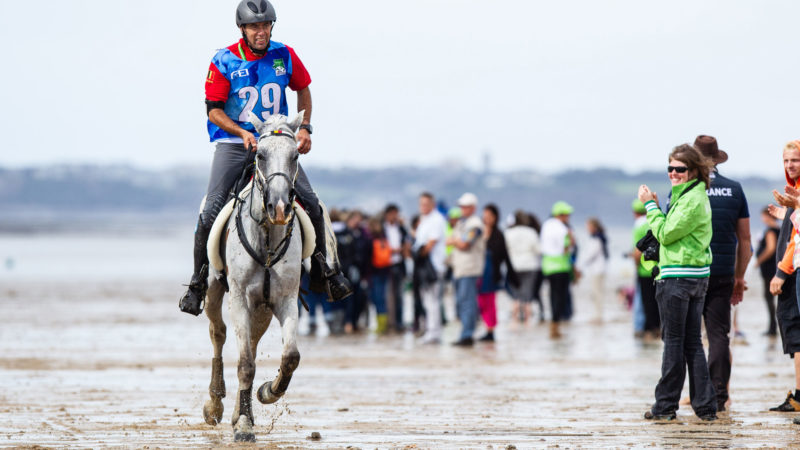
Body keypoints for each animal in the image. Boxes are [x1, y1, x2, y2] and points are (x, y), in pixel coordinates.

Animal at [203, 110, 306, 442]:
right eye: (260, 154)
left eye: (295, 154)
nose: (280, 208)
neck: (267, 237)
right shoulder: (239, 298)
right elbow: (245, 363)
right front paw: (245, 426)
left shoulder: (286, 299)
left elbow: (290, 357)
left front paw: (266, 393)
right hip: (213, 291)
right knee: (219, 333)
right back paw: (215, 405)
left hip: (262, 308)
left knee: (253, 340)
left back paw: (237, 409)